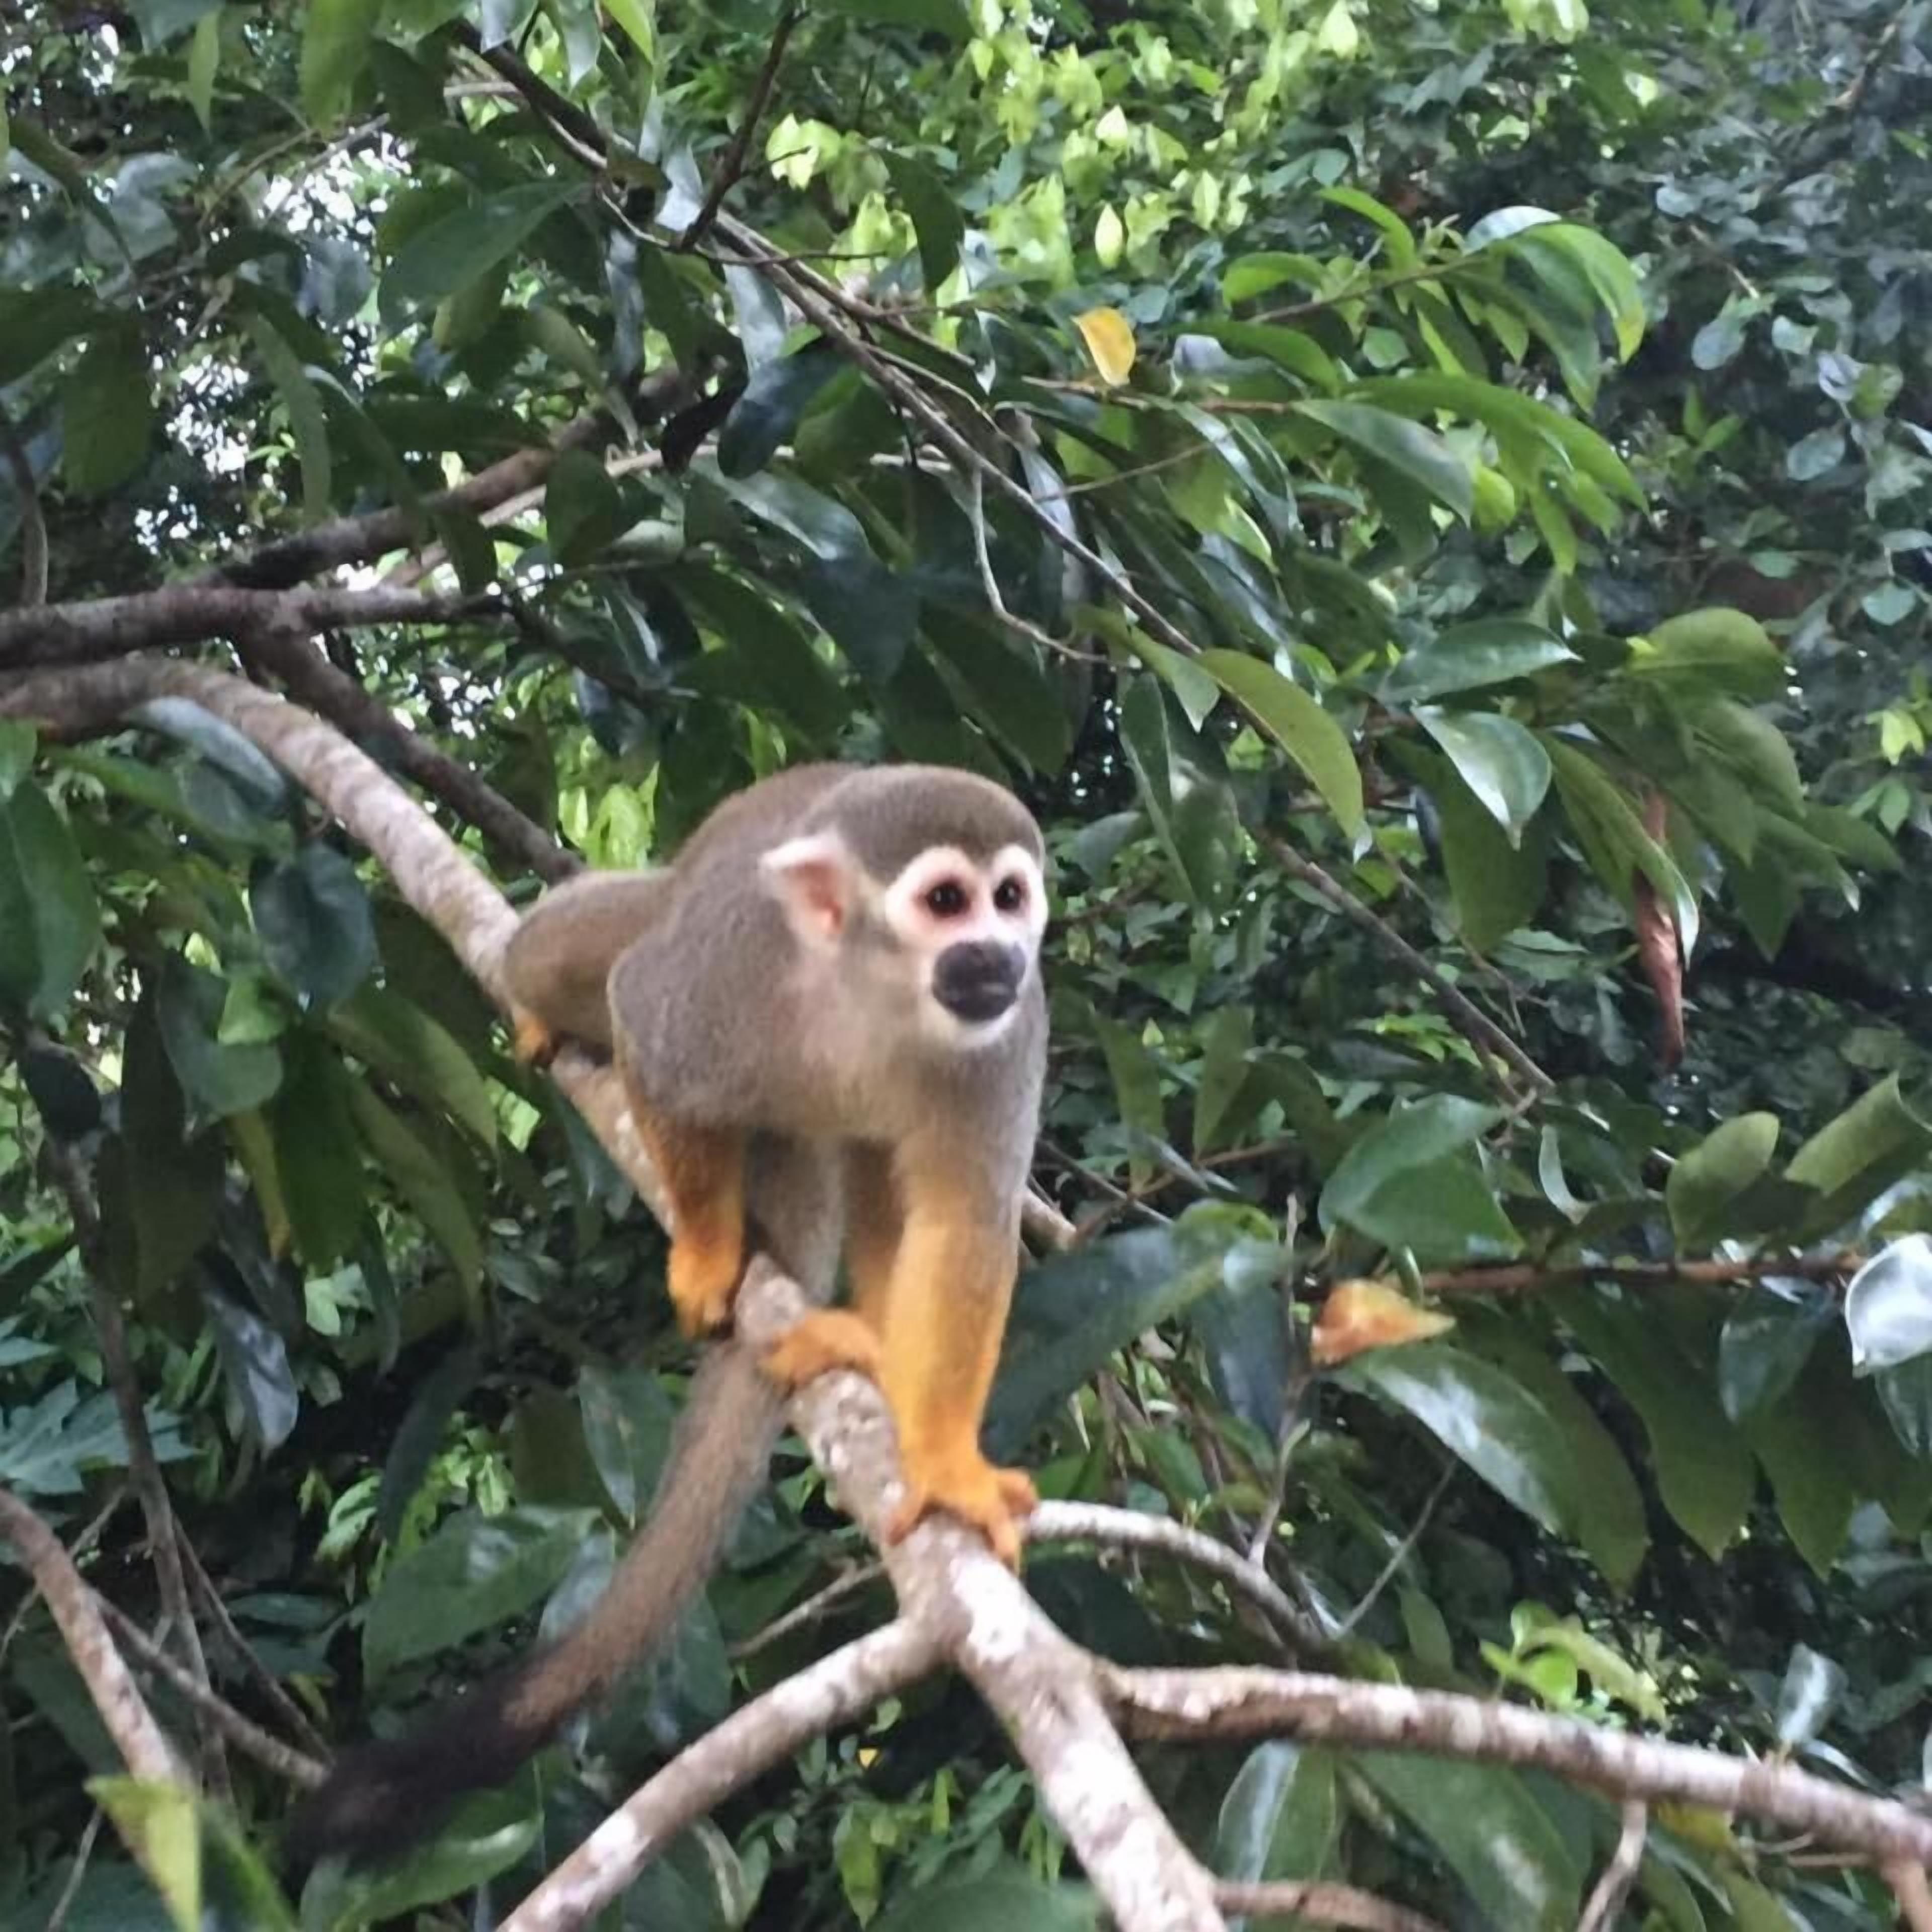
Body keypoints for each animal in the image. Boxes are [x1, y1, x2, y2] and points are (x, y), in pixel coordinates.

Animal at [284, 762, 1048, 1870]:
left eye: (1011, 898)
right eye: (948, 901)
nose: (997, 954)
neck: (874, 994)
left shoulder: (1006, 1037)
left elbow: (965, 1229)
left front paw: (943, 1459)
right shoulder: (721, 979)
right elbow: (649, 1033)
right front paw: (706, 1251)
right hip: (670, 925)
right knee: (571, 953)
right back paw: (544, 1005)